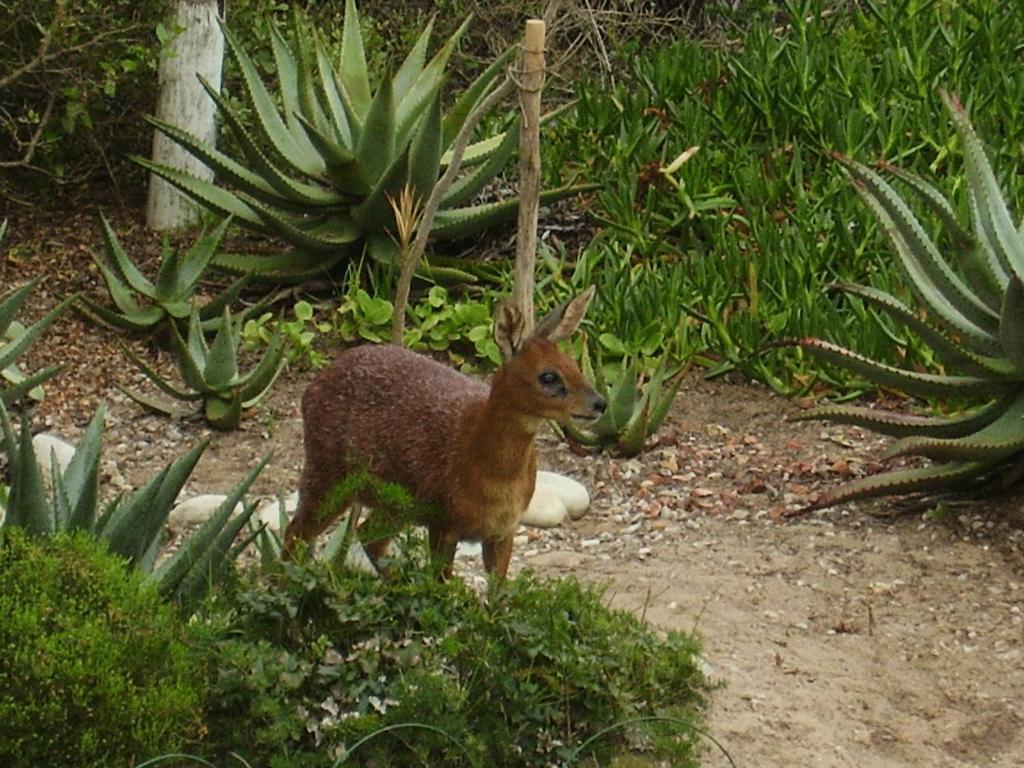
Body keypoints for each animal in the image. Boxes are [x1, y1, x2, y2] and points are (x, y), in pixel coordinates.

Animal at [284, 288, 602, 577]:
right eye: (548, 376)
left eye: (575, 365)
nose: (600, 403)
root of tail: (312, 387)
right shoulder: (442, 521)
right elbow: (440, 586)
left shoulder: (504, 530)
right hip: (328, 473)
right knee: (296, 532)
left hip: (393, 504)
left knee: (367, 538)